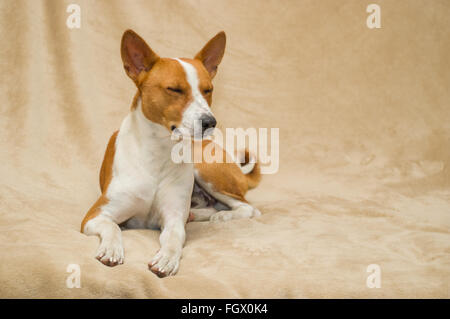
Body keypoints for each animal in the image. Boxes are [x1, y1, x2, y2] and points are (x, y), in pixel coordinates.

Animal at [81, 29, 260, 278]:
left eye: (208, 90)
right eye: (175, 89)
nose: (210, 122)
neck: (159, 153)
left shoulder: (173, 219)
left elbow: (176, 237)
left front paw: (167, 258)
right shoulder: (95, 215)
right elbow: (112, 226)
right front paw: (111, 248)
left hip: (206, 171)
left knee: (248, 207)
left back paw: (221, 215)